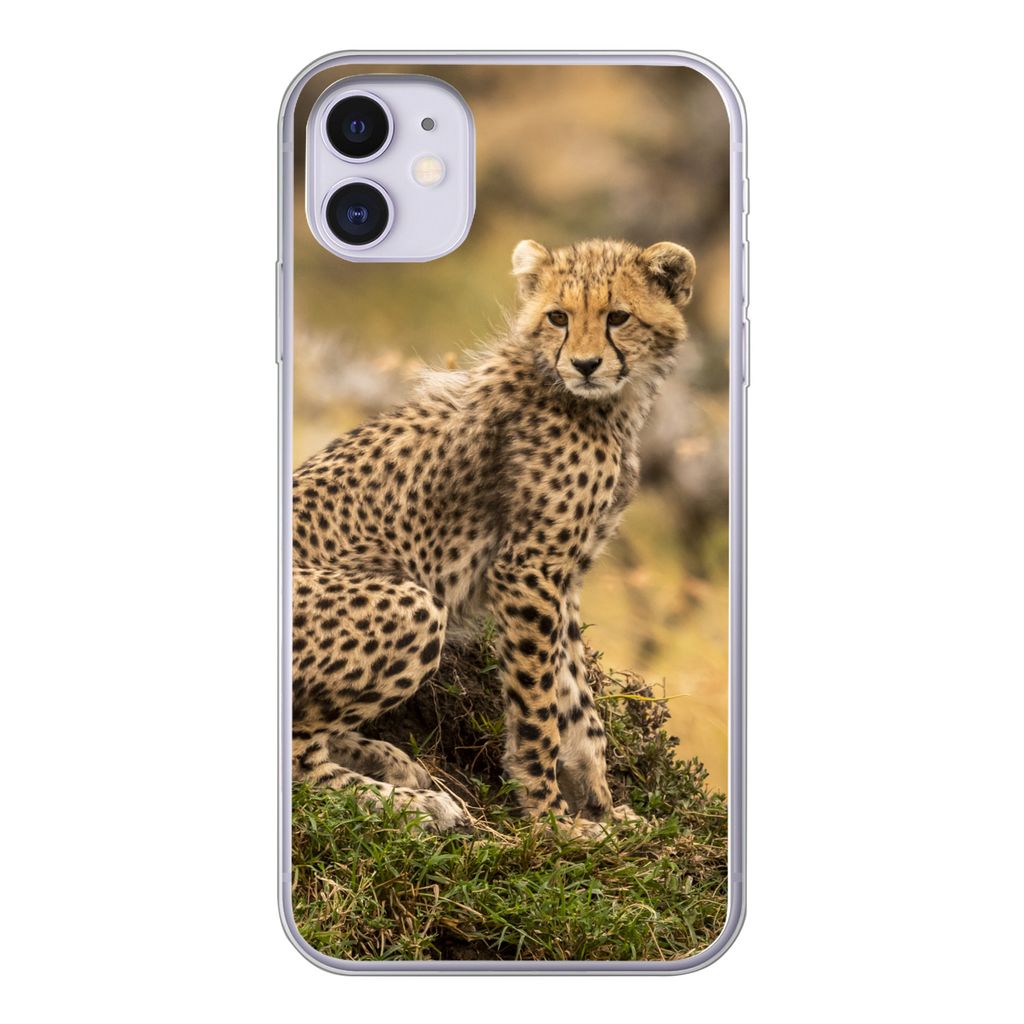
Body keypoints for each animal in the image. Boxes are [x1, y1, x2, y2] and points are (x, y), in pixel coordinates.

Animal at [291, 237, 696, 834]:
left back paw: (389, 761)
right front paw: (554, 820)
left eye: (618, 317)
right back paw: (411, 804)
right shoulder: (527, 571)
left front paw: (604, 808)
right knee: (299, 757)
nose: (585, 364)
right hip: (413, 605)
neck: (599, 403)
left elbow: (579, 704)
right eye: (558, 317)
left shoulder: (563, 576)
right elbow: (539, 707)